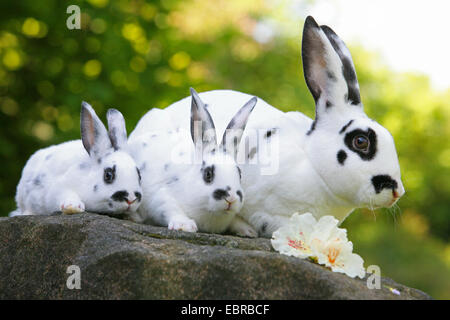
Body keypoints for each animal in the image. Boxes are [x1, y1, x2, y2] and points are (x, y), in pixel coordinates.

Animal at [128, 89, 258, 236]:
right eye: (208, 174)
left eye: (239, 174)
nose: (231, 198)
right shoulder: (160, 197)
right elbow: (170, 208)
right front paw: (184, 226)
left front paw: (249, 231)